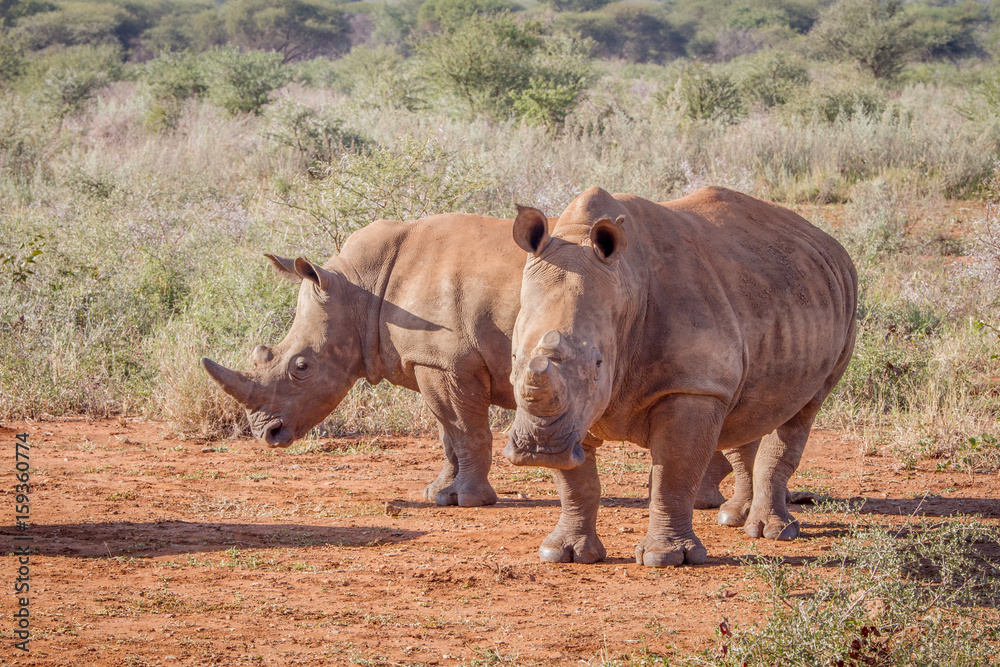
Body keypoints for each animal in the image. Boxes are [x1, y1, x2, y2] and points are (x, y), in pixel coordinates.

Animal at [506, 186, 857, 567]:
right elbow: (576, 481)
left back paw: (773, 533)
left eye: (599, 364)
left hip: (845, 304)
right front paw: (564, 554)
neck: (626, 283)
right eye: (514, 357)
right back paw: (735, 518)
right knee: (752, 408)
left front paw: (665, 558)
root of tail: (831, 242)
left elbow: (673, 473)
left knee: (804, 408)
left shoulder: (693, 387)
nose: (539, 448)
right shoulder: (572, 411)